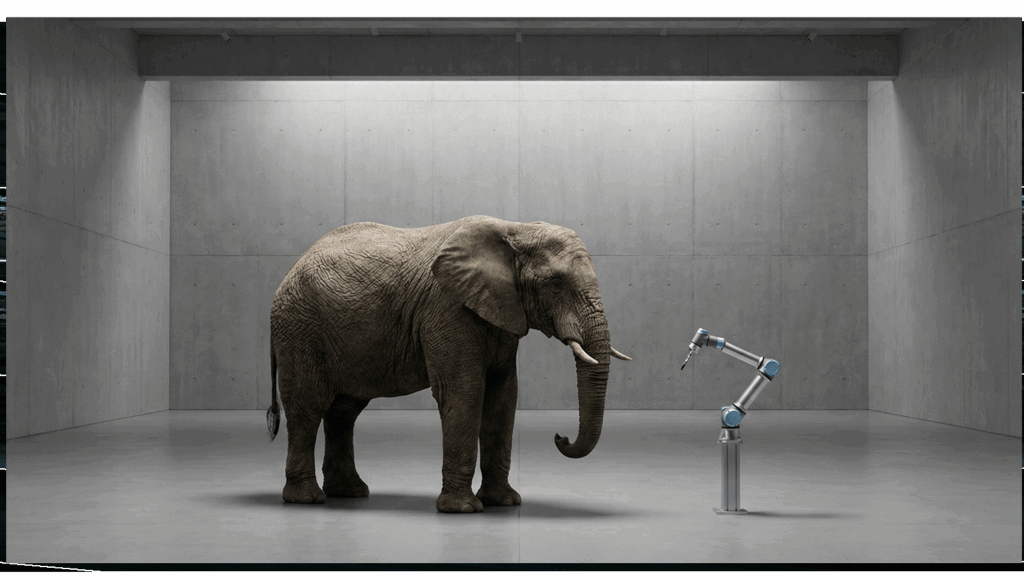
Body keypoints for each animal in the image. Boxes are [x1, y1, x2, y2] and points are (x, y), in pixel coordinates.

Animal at [266, 215, 631, 513]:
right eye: (555, 285)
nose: (561, 437)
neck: (515, 228)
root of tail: (287, 273)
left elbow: (502, 398)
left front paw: (504, 503)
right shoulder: (448, 309)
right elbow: (464, 393)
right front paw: (463, 510)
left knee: (344, 412)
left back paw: (350, 493)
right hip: (300, 329)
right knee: (307, 408)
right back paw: (307, 499)